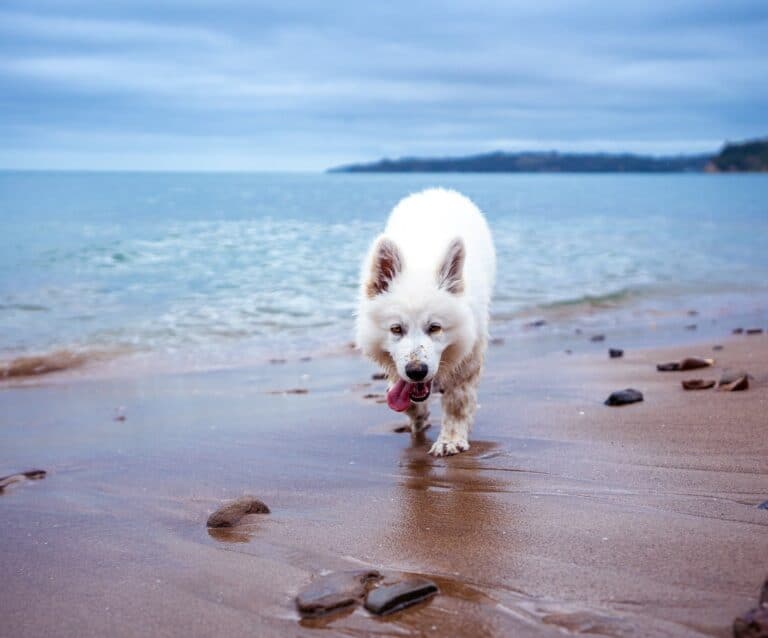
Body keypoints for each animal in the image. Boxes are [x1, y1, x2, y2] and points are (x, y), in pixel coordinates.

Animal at [356, 188, 496, 458]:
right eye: (396, 329)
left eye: (435, 328)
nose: (417, 371)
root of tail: (437, 191)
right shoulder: (395, 365)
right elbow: (403, 393)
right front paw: (417, 416)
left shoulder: (468, 358)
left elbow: (457, 402)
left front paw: (450, 440)